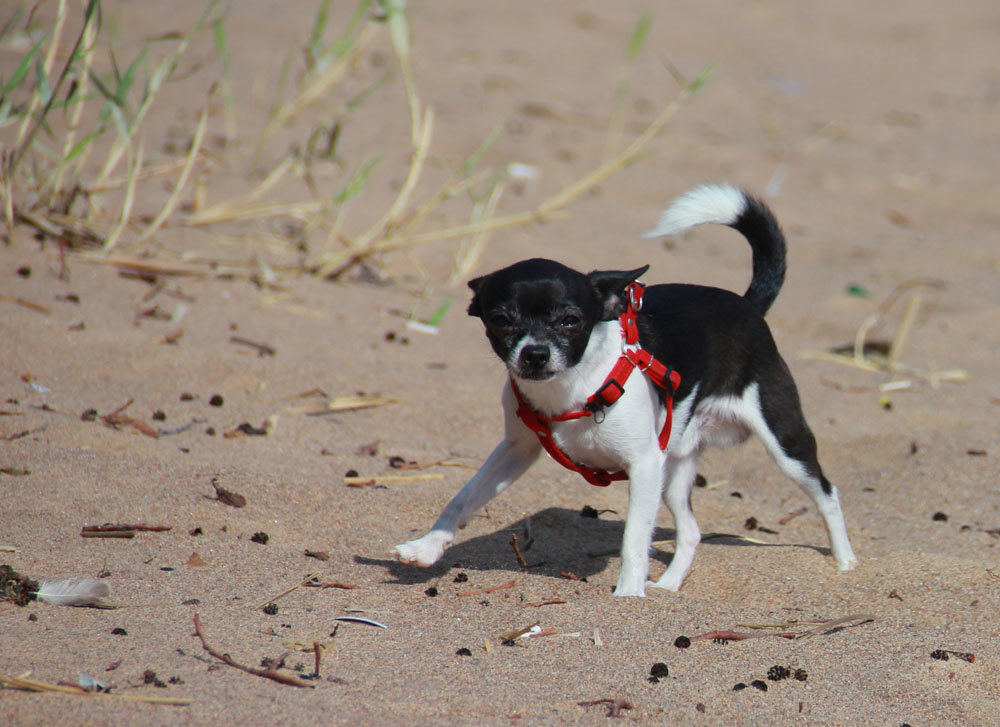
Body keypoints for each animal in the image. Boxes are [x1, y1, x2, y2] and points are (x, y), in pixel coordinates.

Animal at [394, 183, 856, 596]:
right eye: (501, 320)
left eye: (570, 321)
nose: (535, 354)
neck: (573, 388)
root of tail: (748, 305)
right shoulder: (517, 449)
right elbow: (463, 497)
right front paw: (427, 547)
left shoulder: (643, 465)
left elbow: (634, 539)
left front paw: (628, 597)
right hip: (673, 467)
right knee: (691, 531)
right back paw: (668, 587)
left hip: (783, 442)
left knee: (827, 492)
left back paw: (845, 560)